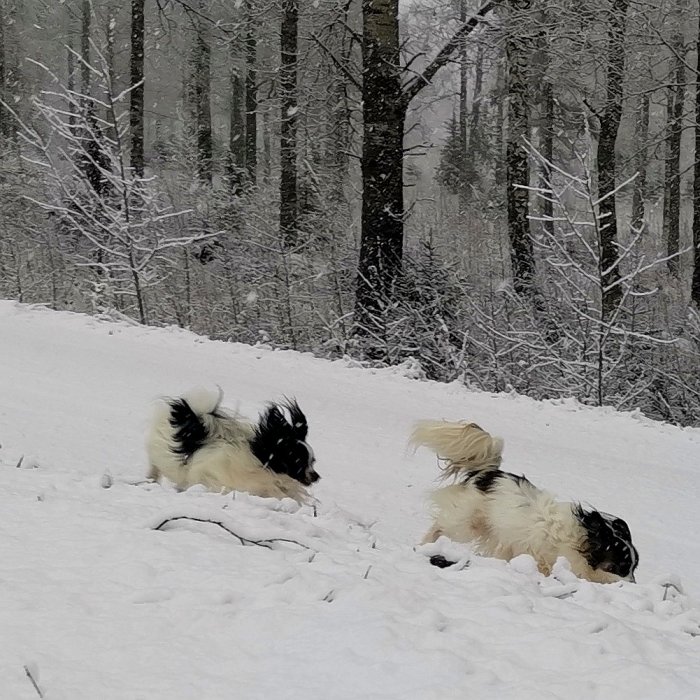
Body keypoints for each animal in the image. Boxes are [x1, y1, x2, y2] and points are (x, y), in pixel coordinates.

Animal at [410, 422, 640, 584]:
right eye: (620, 567)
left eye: (634, 568)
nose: (632, 584)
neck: (583, 539)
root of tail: (488, 472)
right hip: (467, 522)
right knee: (440, 525)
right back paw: (425, 544)